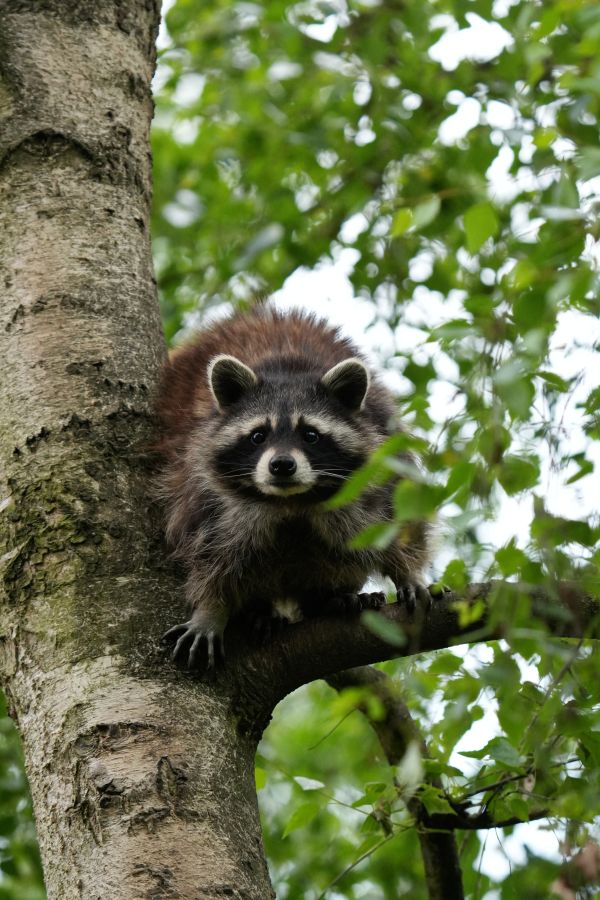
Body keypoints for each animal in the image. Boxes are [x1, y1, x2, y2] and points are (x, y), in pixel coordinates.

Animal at [157, 306, 430, 669]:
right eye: (258, 435)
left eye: (310, 435)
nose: (282, 465)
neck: (292, 502)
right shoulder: (204, 487)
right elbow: (210, 551)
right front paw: (212, 608)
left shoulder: (383, 459)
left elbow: (399, 521)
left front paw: (408, 573)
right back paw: (260, 612)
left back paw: (332, 597)